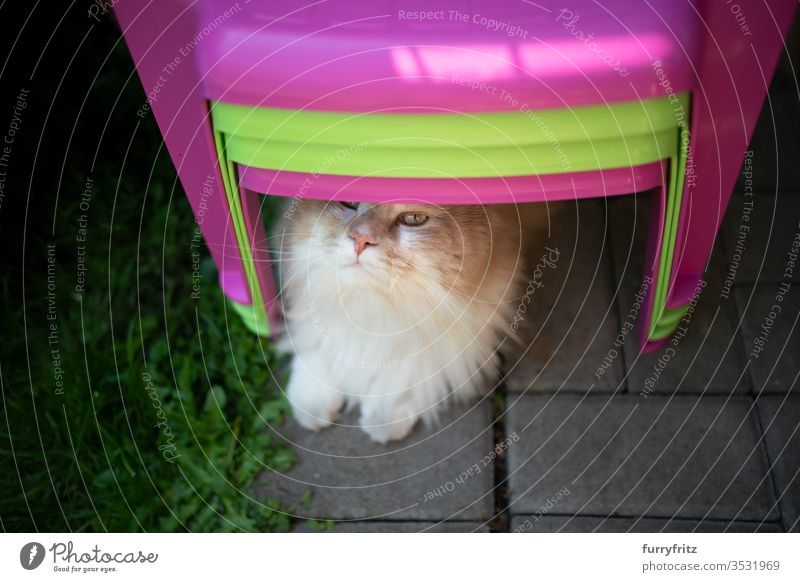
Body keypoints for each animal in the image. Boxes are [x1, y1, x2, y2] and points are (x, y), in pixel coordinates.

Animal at [278, 198, 536, 444]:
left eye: (414, 219)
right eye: (348, 203)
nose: (361, 239)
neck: (376, 310)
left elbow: (414, 369)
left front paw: (383, 415)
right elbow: (318, 345)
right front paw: (313, 400)